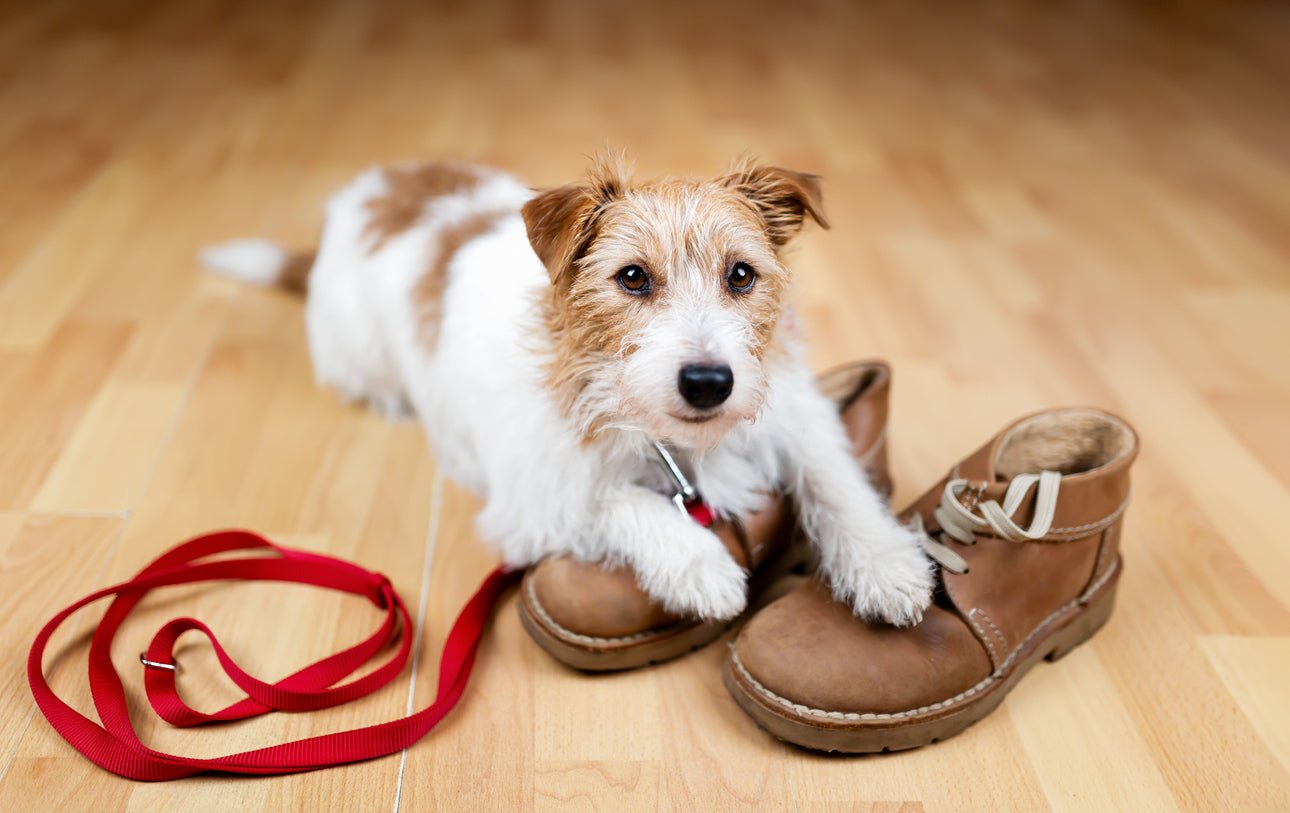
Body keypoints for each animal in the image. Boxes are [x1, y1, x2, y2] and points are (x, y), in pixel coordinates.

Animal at [201, 154, 933, 624]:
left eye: (742, 274)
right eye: (632, 277)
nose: (708, 382)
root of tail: (353, 205)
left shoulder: (795, 414)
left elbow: (835, 480)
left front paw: (885, 563)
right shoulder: (535, 500)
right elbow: (618, 500)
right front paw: (701, 567)